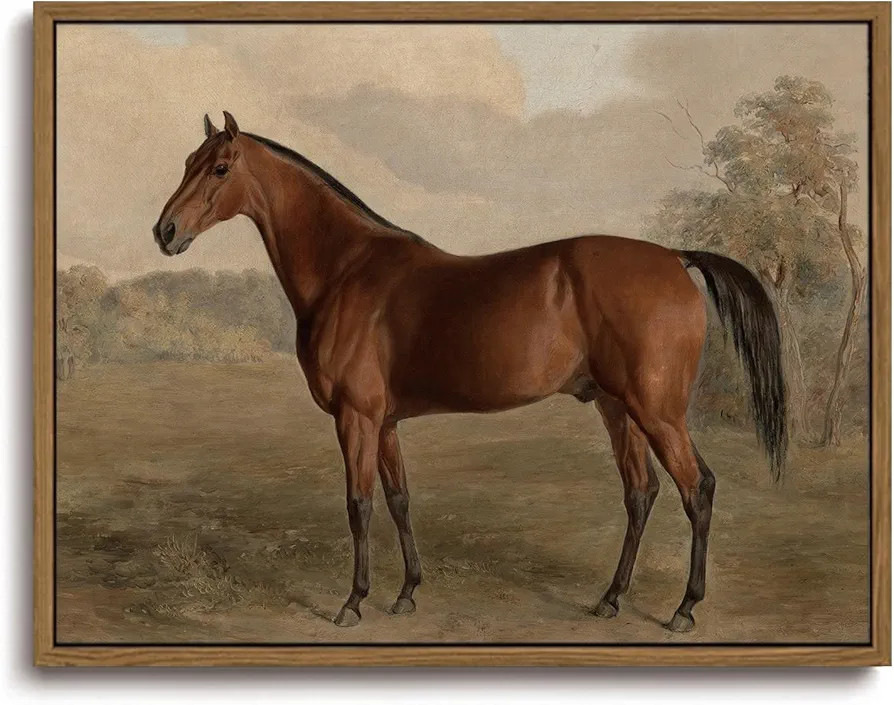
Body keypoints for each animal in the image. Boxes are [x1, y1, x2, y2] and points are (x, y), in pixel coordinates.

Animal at [153, 112, 786, 632]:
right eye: (185, 163)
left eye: (219, 168)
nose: (165, 232)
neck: (347, 270)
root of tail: (675, 257)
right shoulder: (385, 423)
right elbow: (399, 498)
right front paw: (406, 593)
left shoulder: (356, 418)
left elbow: (359, 504)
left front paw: (353, 602)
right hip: (618, 408)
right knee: (641, 491)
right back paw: (610, 599)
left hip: (657, 411)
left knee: (696, 488)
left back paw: (684, 609)